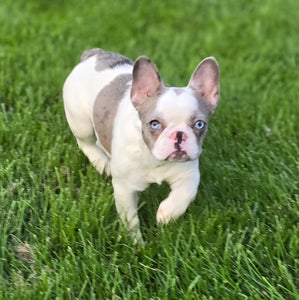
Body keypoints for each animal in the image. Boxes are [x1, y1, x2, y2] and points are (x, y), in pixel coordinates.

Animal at [63, 49, 220, 241]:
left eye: (199, 124)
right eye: (154, 124)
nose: (179, 135)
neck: (153, 157)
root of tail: (94, 54)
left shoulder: (188, 174)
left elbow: (185, 193)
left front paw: (166, 214)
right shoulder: (125, 188)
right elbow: (130, 219)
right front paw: (135, 243)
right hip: (81, 122)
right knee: (86, 143)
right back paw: (102, 162)